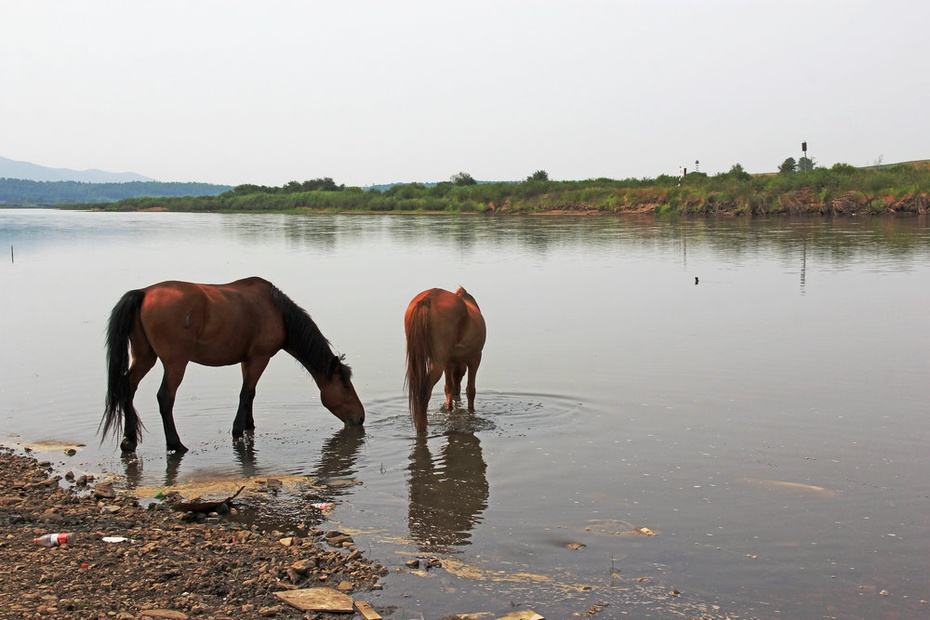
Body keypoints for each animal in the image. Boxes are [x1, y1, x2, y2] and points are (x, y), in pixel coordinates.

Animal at [101, 278, 362, 452]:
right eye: (345, 386)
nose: (360, 418)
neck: (277, 311)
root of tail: (143, 293)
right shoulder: (260, 357)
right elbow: (246, 393)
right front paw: (238, 430)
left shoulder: (247, 359)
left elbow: (250, 394)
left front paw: (249, 425)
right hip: (175, 362)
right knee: (165, 398)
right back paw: (176, 444)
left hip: (145, 357)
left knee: (127, 388)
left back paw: (129, 440)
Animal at [402, 288, 486, 434]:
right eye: (461, 374)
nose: (458, 391)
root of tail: (428, 298)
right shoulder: (475, 358)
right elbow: (470, 390)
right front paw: (471, 413)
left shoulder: (448, 363)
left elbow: (448, 388)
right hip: (438, 363)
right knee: (424, 393)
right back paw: (422, 427)